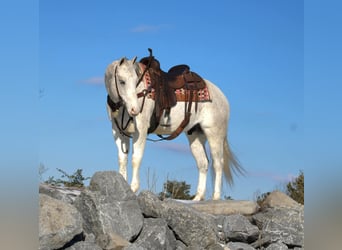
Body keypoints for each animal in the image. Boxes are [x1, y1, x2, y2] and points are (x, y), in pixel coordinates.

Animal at [104, 55, 243, 200]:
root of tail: (222, 97)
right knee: (203, 163)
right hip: (195, 135)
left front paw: (133, 188)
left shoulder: (141, 130)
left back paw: (215, 197)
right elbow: (122, 160)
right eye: (122, 81)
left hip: (214, 134)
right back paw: (197, 198)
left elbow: (136, 159)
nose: (134, 110)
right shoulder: (119, 132)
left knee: (218, 163)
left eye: (137, 80)